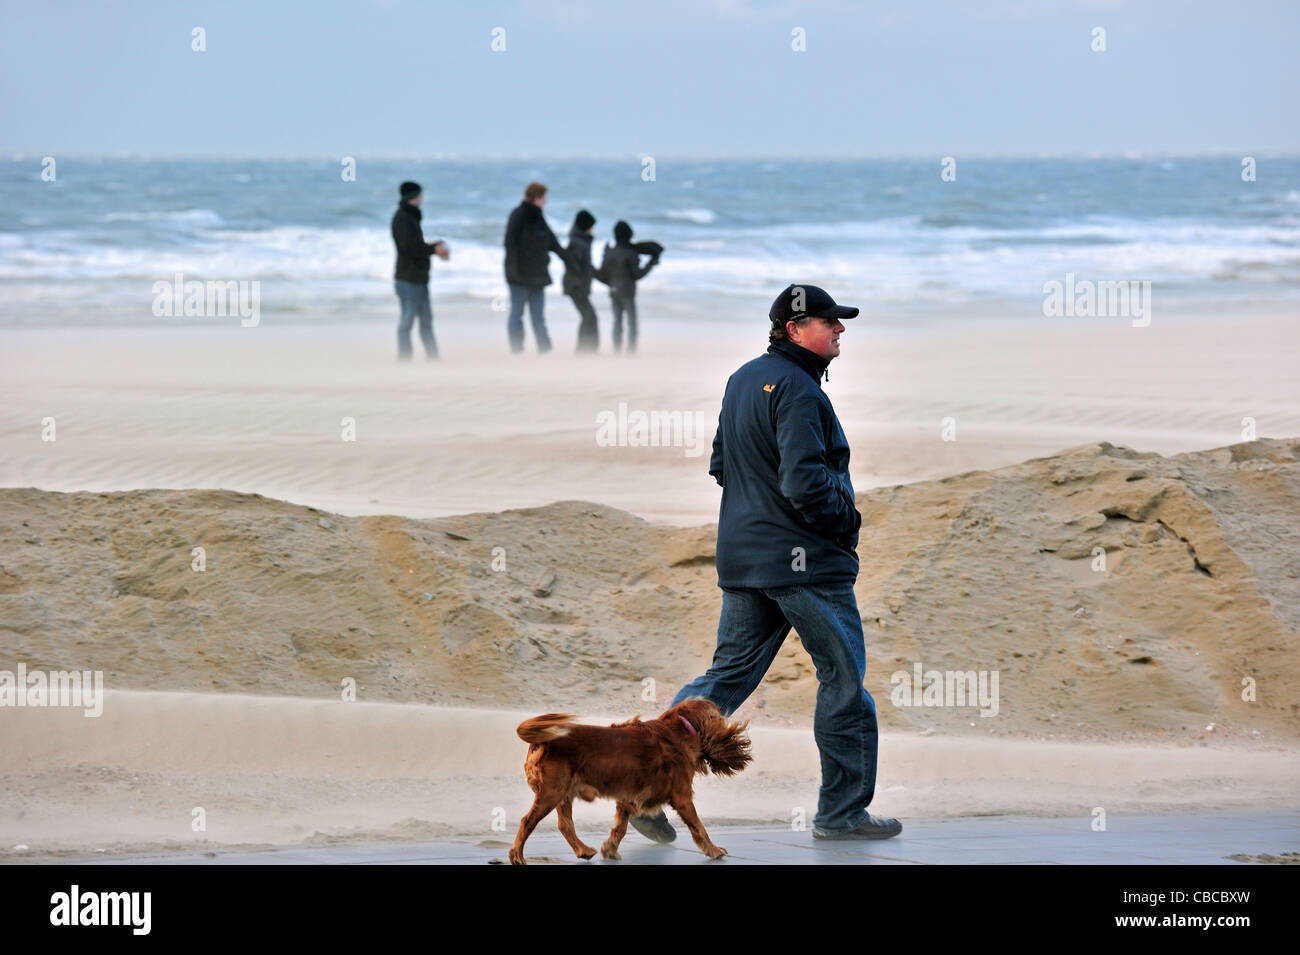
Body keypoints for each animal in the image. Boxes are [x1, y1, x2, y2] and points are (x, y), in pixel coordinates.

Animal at [506, 696, 754, 867]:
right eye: (721, 717)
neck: (681, 729)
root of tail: (543, 741)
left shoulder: (628, 798)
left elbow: (620, 828)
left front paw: (610, 850)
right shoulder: (682, 797)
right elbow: (699, 827)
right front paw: (713, 850)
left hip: (563, 793)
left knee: (565, 825)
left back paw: (583, 850)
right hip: (552, 792)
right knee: (527, 821)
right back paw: (517, 856)